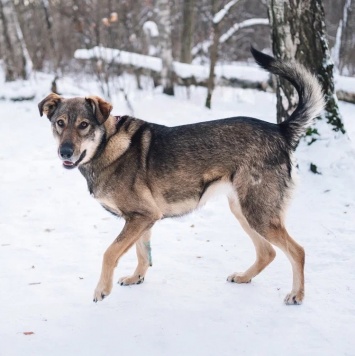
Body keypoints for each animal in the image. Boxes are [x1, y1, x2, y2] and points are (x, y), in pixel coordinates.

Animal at [39, 48, 326, 306]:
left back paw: (296, 295)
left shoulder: (141, 217)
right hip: (243, 210)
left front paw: (102, 289)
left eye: (84, 125)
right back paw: (244, 277)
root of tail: (280, 129)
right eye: (60, 123)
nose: (65, 152)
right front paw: (135, 278)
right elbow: (142, 254)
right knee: (267, 252)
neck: (106, 145)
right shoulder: (143, 219)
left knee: (297, 251)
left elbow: (110, 253)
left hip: (258, 213)